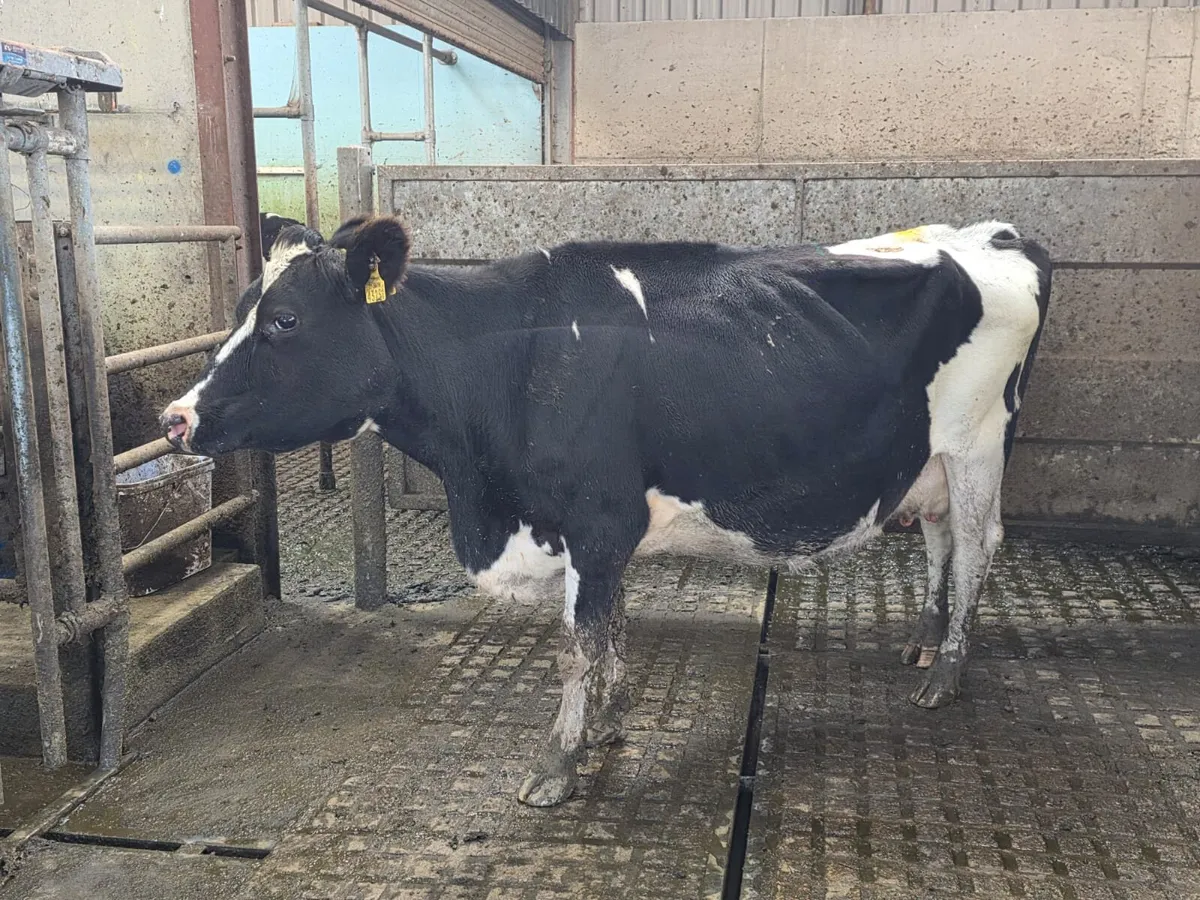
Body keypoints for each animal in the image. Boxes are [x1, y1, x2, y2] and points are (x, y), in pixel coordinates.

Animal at [161, 214, 1051, 807]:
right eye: (240, 311)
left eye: (283, 321)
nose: (174, 418)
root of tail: (992, 232)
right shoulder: (605, 532)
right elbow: (612, 630)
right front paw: (611, 723)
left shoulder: (595, 520)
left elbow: (576, 646)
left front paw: (556, 765)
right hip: (929, 463)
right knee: (939, 539)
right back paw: (922, 640)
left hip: (978, 443)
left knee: (979, 546)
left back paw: (944, 675)